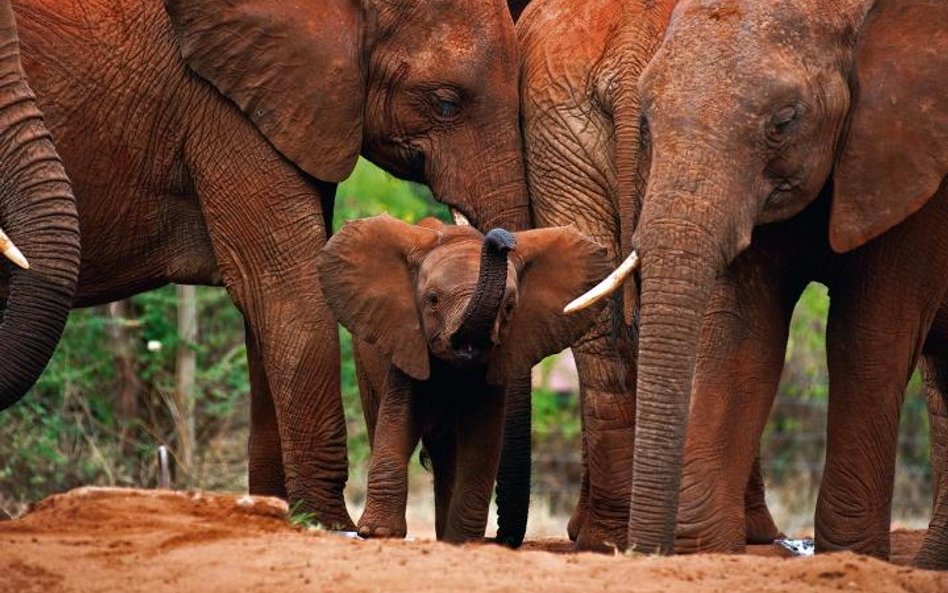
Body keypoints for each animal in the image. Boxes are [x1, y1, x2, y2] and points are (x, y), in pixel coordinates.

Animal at [3, 0, 528, 528]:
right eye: (446, 102)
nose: (497, 238)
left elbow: (266, 312)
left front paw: (274, 514)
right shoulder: (222, 107)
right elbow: (288, 291)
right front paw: (328, 528)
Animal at [318, 216, 608, 540]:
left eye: (509, 307)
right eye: (432, 300)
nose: (503, 239)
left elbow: (482, 438)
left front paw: (462, 540)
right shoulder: (406, 340)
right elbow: (398, 419)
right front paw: (377, 533)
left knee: (447, 455)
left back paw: (446, 536)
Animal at [572, 0, 948, 560]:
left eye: (785, 122)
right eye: (645, 119)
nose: (639, 551)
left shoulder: (915, 173)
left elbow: (866, 339)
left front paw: (851, 555)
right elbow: (743, 337)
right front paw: (707, 548)